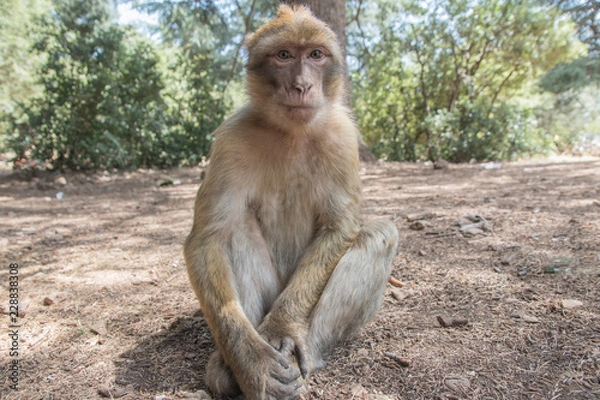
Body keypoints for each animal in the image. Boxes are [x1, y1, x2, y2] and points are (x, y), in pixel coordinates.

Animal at [184, 3, 398, 400]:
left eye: (315, 55)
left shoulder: (344, 137)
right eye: (284, 55)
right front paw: (252, 362)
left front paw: (282, 328)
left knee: (380, 233)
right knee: (234, 229)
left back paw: (304, 351)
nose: (302, 85)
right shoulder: (230, 139)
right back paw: (228, 367)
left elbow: (340, 226)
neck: (292, 133)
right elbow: (207, 240)